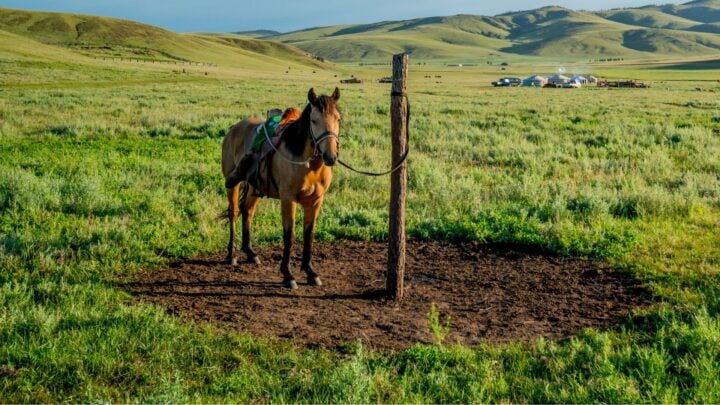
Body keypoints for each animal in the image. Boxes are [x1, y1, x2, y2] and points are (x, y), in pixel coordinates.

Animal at [221, 87, 341, 290]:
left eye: (338, 119)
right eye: (314, 120)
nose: (330, 156)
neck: (308, 164)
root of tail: (233, 129)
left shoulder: (316, 201)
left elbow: (309, 234)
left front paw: (310, 272)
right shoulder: (288, 199)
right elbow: (289, 235)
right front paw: (288, 275)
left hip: (254, 187)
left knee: (248, 211)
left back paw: (250, 253)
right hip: (233, 183)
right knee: (234, 212)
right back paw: (232, 255)